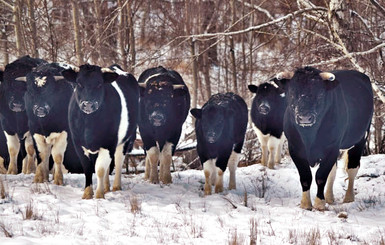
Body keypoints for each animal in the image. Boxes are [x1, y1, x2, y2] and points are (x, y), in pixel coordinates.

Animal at [63, 63, 140, 199]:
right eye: (79, 83)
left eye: (99, 84)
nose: (88, 104)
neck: (89, 123)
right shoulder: (78, 143)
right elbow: (88, 168)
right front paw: (87, 193)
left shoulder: (108, 143)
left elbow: (100, 169)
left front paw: (99, 194)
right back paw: (106, 187)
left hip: (125, 140)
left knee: (118, 161)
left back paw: (116, 186)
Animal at [274, 67, 374, 211]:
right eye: (292, 93)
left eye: (320, 94)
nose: (305, 117)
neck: (309, 136)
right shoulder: (295, 149)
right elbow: (305, 177)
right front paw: (305, 204)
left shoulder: (331, 148)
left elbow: (321, 176)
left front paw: (319, 204)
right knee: (333, 171)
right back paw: (329, 198)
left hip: (360, 139)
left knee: (352, 169)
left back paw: (348, 198)